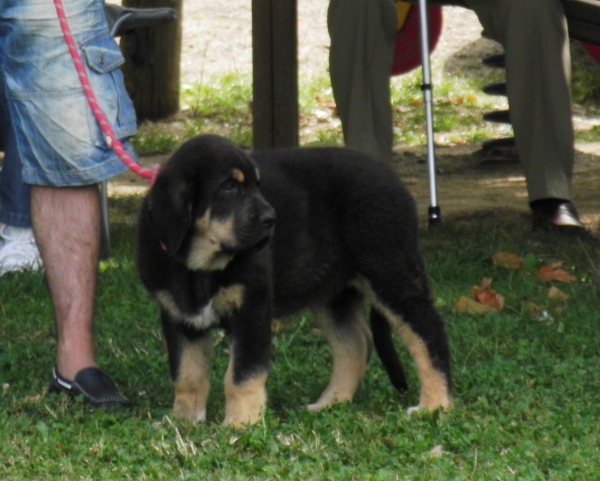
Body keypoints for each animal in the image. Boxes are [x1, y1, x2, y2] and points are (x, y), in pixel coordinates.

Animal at [137, 133, 450, 426]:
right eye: (229, 187)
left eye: (257, 185)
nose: (271, 219)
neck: (199, 266)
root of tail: (394, 178)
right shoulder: (180, 318)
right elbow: (186, 376)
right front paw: (183, 421)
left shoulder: (251, 310)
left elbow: (241, 376)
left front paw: (239, 424)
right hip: (332, 294)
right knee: (356, 344)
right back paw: (330, 403)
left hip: (389, 271)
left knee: (428, 333)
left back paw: (435, 405)